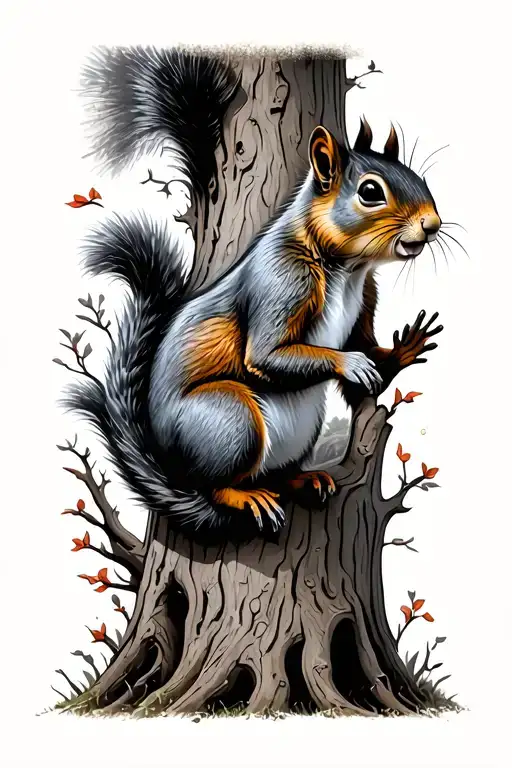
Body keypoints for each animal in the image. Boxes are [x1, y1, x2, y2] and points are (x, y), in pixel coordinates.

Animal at [68, 47, 443, 535]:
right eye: (370, 192)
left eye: (418, 177)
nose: (433, 223)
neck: (347, 269)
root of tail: (172, 473)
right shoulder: (280, 281)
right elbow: (267, 354)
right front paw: (351, 363)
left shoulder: (365, 299)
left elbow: (367, 348)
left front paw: (402, 349)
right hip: (230, 420)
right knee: (217, 484)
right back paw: (244, 497)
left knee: (274, 474)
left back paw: (302, 479)